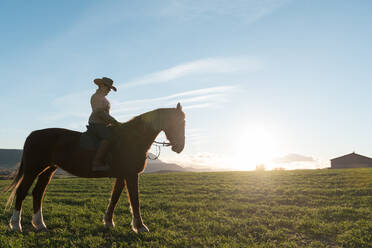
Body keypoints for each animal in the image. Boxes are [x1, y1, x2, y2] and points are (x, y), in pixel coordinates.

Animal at [3, 102, 186, 232]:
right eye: (178, 123)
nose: (180, 147)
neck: (132, 138)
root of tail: (33, 134)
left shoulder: (122, 175)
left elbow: (115, 198)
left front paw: (108, 222)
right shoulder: (131, 175)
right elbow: (135, 200)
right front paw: (140, 227)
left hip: (48, 170)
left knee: (38, 193)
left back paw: (39, 224)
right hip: (33, 169)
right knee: (22, 192)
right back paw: (16, 225)